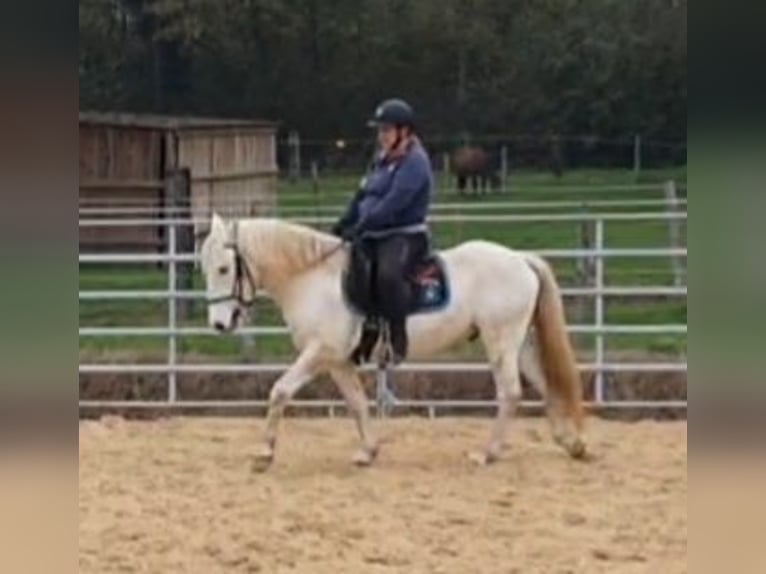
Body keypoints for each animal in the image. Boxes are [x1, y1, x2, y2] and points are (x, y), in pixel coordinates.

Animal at [200, 214, 588, 470]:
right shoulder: (337, 361)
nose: (219, 324)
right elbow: (357, 403)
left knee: (510, 392)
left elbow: (279, 391)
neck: (311, 278)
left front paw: (264, 452)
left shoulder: (319, 353)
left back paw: (487, 453)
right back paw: (572, 443)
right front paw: (368, 451)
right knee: (545, 385)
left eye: (224, 269)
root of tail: (520, 259)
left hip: (500, 343)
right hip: (519, 344)